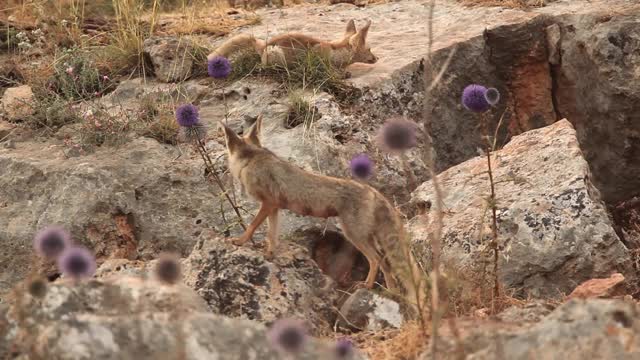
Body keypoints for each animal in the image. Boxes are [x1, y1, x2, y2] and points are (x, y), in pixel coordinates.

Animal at [220, 116, 424, 302]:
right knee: (386, 264)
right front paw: (270, 253)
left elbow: (252, 226)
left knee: (377, 260)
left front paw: (239, 241)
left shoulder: (268, 203)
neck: (252, 159)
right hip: (365, 237)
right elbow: (272, 234)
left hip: (354, 235)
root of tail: (374, 191)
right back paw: (389, 292)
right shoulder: (274, 207)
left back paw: (370, 287)